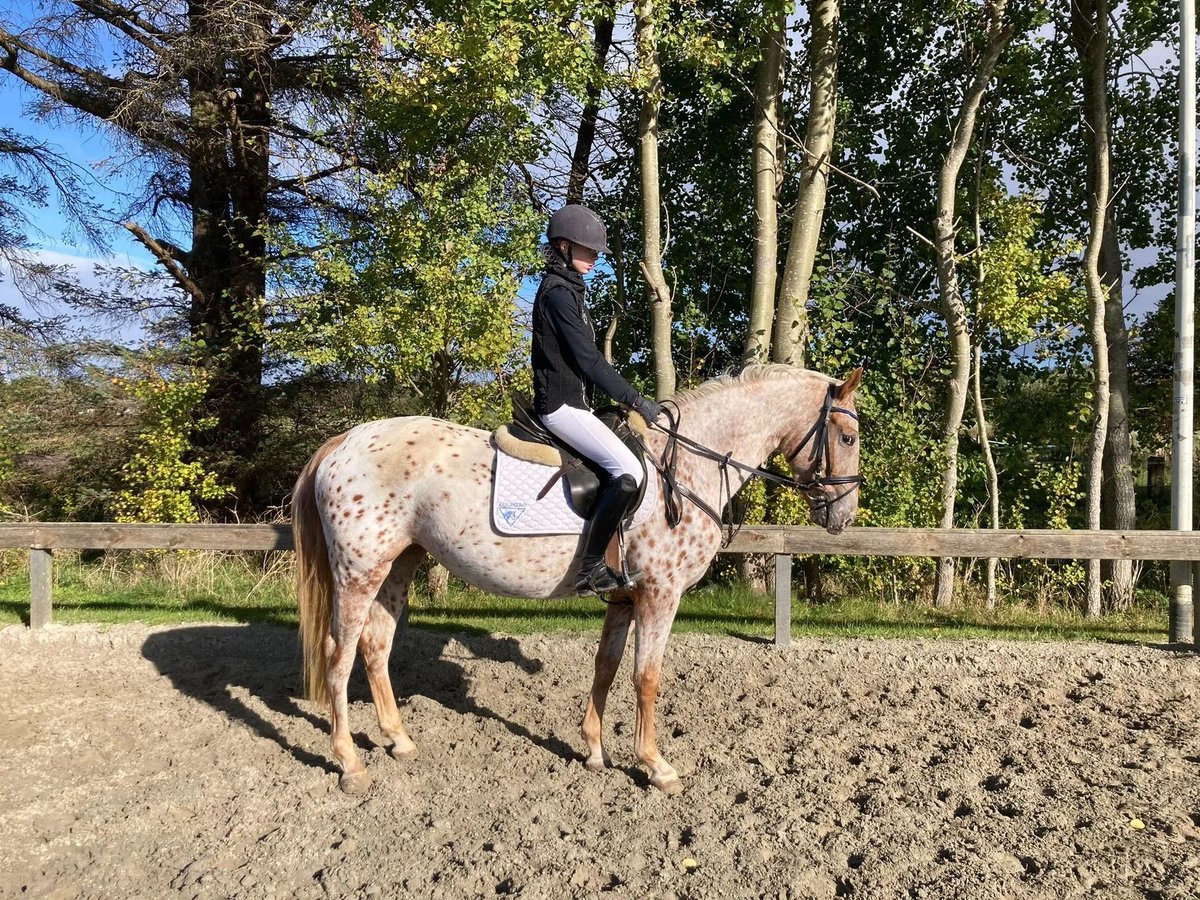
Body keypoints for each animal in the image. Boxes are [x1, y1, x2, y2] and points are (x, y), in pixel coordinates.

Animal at [291, 364, 864, 796]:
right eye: (848, 436)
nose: (843, 515)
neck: (682, 469)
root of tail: (345, 441)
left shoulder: (624, 597)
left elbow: (606, 668)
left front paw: (593, 750)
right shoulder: (659, 595)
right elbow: (646, 677)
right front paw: (656, 766)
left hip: (400, 563)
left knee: (375, 646)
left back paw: (400, 741)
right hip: (358, 570)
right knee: (339, 655)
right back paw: (350, 764)